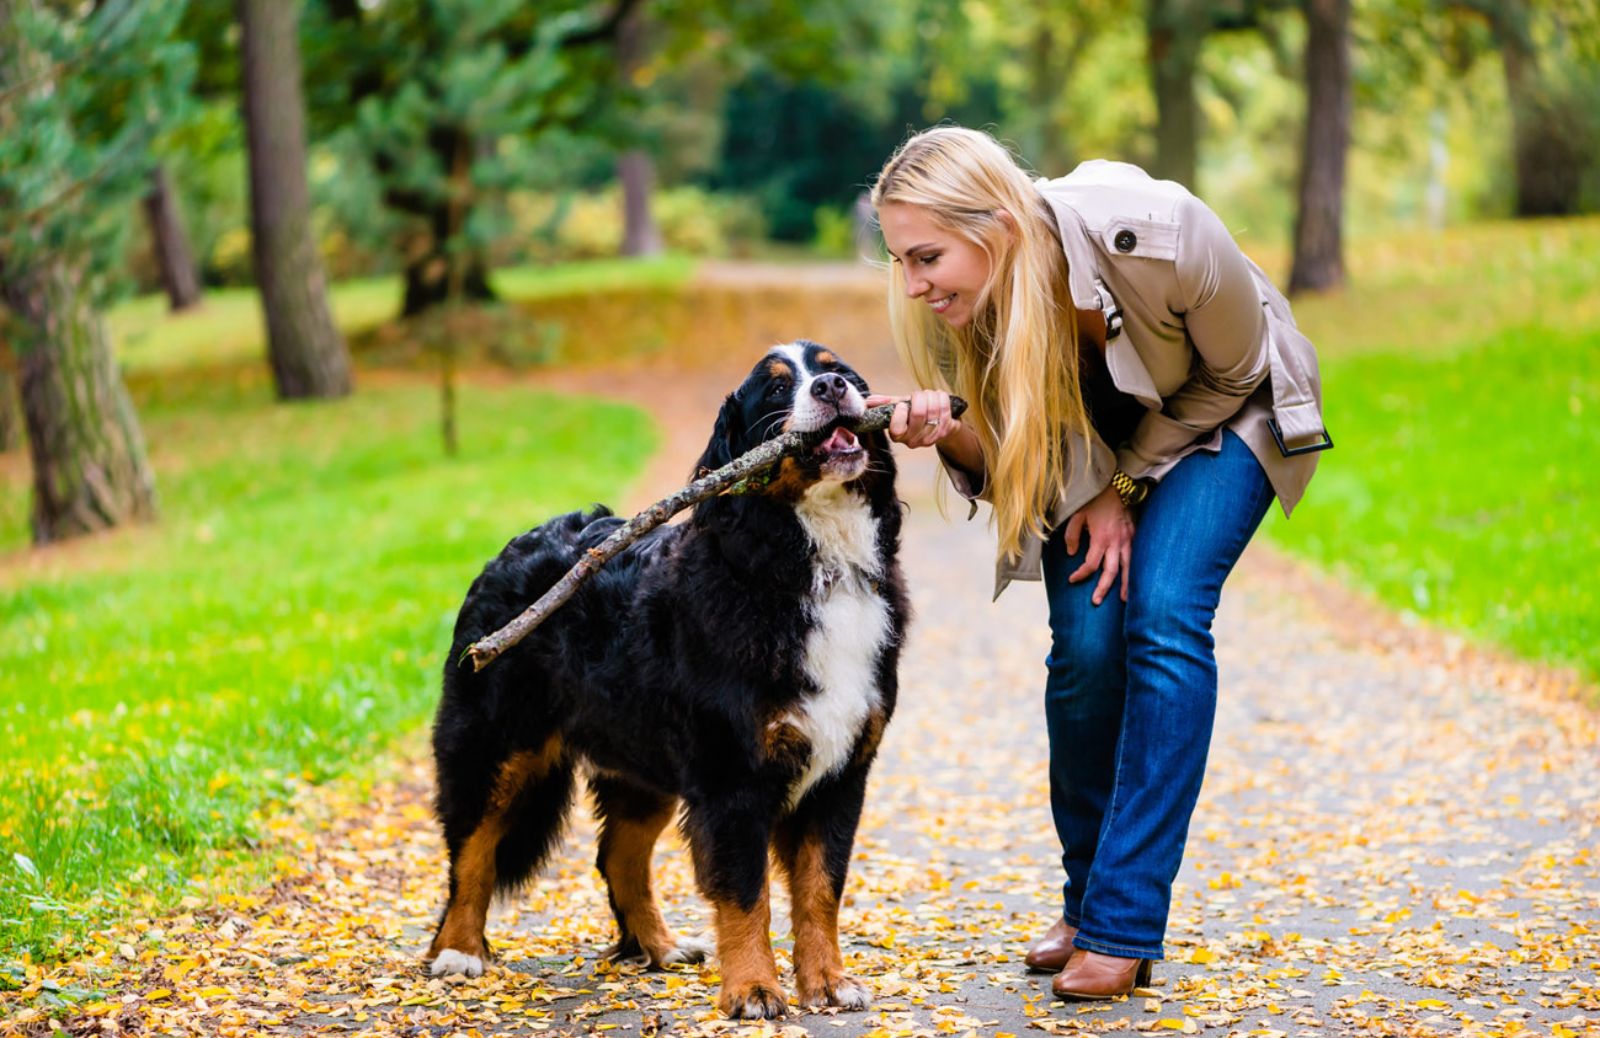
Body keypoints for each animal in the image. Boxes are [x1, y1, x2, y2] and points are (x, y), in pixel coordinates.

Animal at [419, 335, 908, 1017]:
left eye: (840, 371)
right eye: (778, 388)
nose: (831, 388)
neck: (809, 564)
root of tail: (510, 549)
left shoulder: (841, 772)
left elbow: (819, 889)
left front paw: (829, 982)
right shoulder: (732, 774)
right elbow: (746, 893)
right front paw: (753, 989)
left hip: (642, 759)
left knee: (617, 858)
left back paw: (660, 947)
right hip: (497, 746)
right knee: (472, 853)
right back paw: (458, 953)